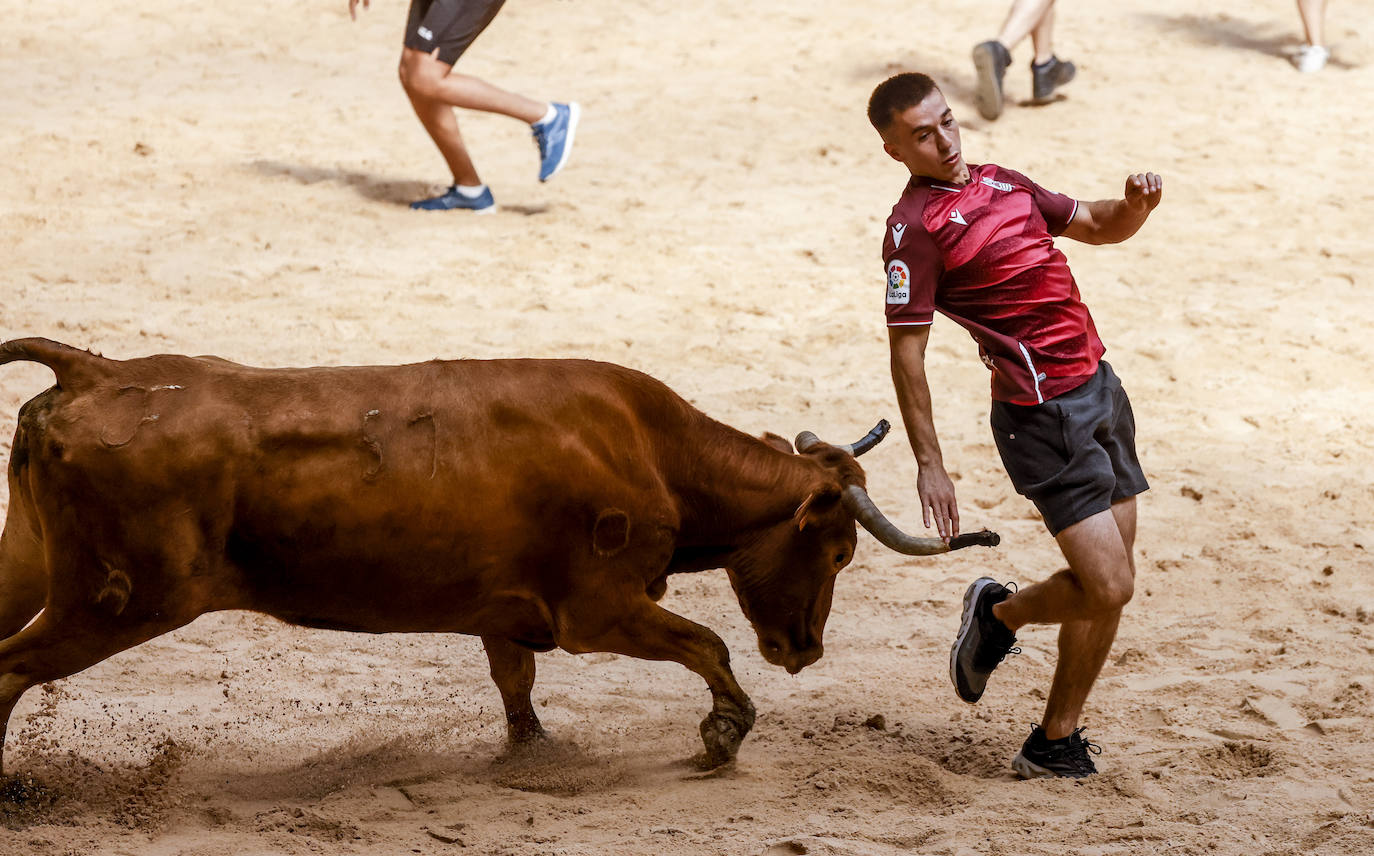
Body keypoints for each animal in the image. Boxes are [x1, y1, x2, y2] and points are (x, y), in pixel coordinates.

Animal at [0, 339, 994, 774]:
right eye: (839, 551)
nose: (804, 650)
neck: (649, 445)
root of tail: (93, 370)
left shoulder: (510, 616)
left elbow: (514, 681)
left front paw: (532, 753)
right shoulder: (600, 611)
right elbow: (705, 643)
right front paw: (723, 732)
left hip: (34, 570)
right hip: (116, 602)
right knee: (12, 668)